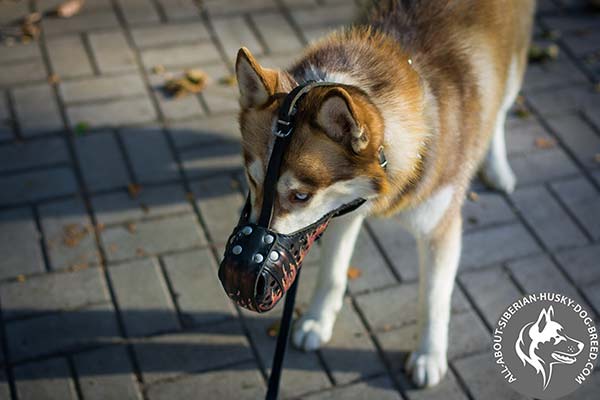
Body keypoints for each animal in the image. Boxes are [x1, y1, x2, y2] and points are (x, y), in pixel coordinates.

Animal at [233, 0, 536, 388]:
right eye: (252, 179)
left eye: (300, 196)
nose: (245, 271)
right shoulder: (339, 213)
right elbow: (332, 274)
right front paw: (318, 321)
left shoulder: (440, 230)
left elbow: (434, 300)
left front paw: (428, 355)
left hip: (512, 71)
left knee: (499, 111)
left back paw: (498, 168)